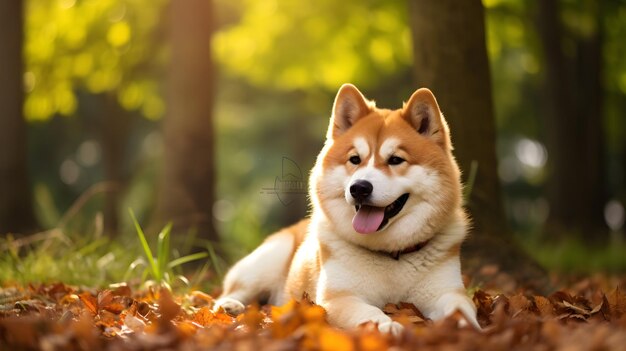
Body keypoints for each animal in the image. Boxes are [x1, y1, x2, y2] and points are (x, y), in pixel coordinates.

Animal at [214, 84, 478, 334]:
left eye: (395, 160)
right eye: (355, 159)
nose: (359, 187)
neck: (392, 255)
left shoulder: (447, 292)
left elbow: (460, 308)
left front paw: (466, 327)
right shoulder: (338, 298)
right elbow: (369, 312)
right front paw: (385, 326)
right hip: (267, 261)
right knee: (234, 291)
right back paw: (229, 305)